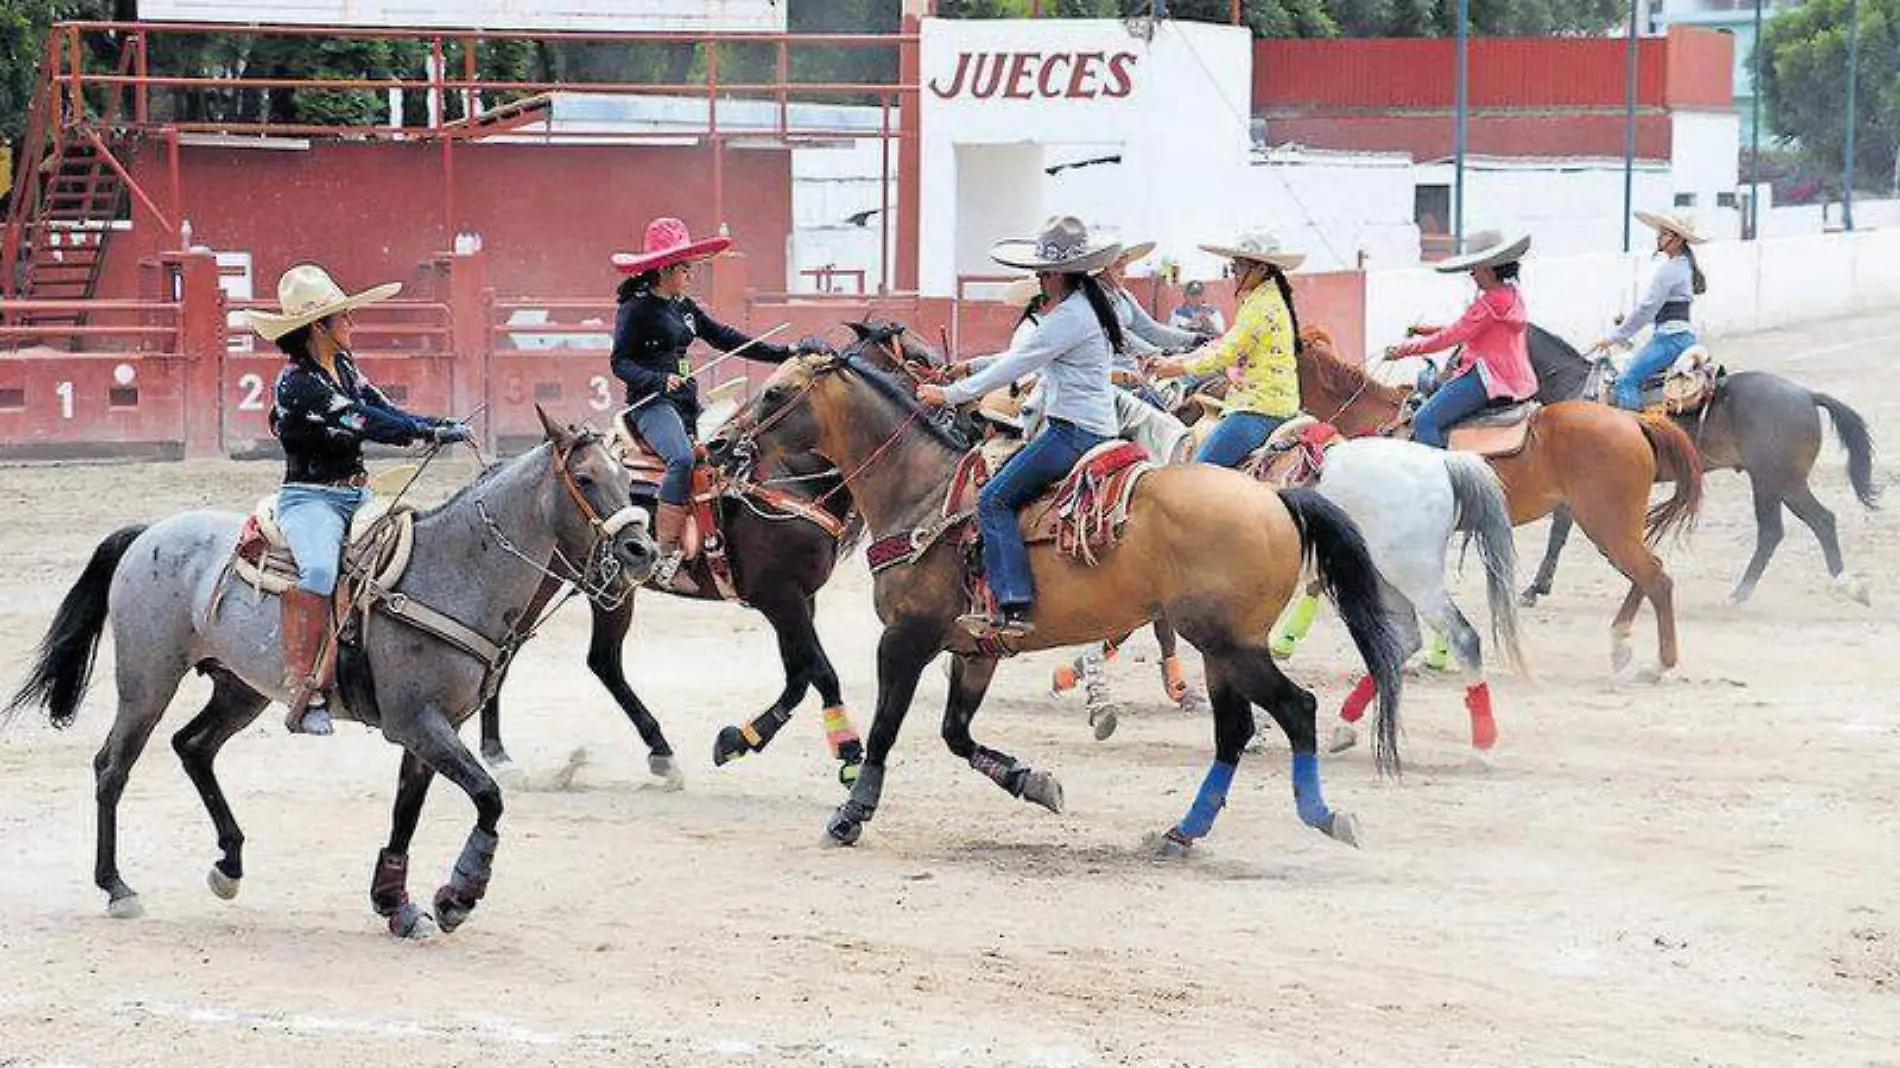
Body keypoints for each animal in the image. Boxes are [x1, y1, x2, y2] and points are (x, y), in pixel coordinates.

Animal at [7, 406, 657, 931]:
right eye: (584, 478)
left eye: (628, 478)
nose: (642, 552)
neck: (454, 570)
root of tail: (149, 533)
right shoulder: (417, 722)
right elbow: (488, 796)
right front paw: (456, 897)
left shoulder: (430, 729)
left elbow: (406, 813)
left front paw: (396, 903)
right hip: (146, 681)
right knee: (112, 766)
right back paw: (117, 888)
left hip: (239, 689)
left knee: (192, 746)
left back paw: (229, 865)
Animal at [1299, 340, 1702, 676]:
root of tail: (1634, 421)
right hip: (1614, 528)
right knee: (1646, 575)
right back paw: (1621, 644)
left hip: (1608, 526)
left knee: (1655, 578)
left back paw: (1659, 664)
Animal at [1504, 324, 1877, 604]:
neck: (1577, 389)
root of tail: (1805, 395)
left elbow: (1560, 532)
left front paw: (1534, 590)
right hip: (1776, 483)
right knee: (1799, 525)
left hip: (1777, 481)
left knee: (1798, 525)